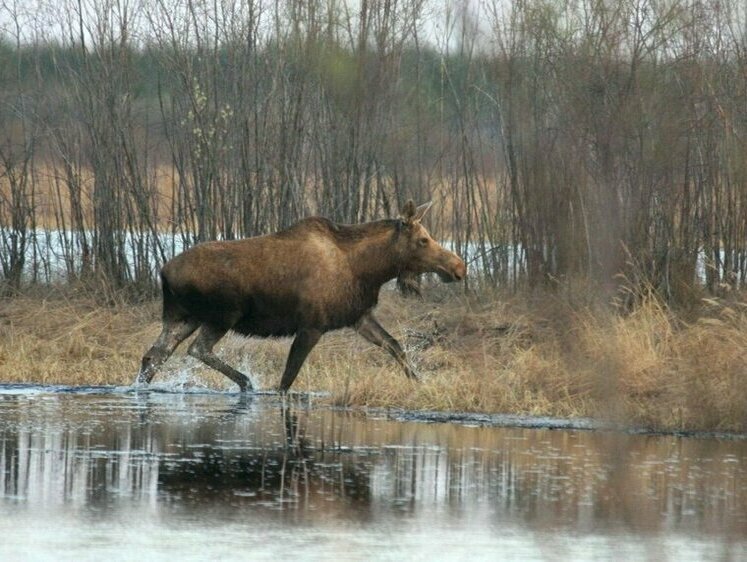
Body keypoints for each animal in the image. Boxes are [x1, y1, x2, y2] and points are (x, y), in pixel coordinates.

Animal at [134, 200, 462, 390]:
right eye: (423, 240)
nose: (458, 267)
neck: (369, 271)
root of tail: (163, 271)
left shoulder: (358, 316)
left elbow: (395, 345)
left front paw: (419, 382)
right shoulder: (311, 325)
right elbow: (287, 379)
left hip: (183, 317)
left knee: (154, 355)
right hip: (222, 315)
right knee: (197, 349)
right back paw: (245, 382)